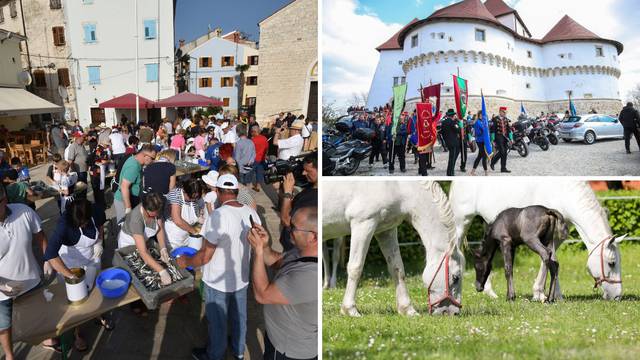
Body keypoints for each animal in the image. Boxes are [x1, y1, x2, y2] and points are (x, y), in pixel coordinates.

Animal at [322, 180, 462, 316]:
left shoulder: (386, 230)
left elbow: (397, 268)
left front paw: (407, 309)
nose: (455, 313)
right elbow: (355, 268)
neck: (397, 186)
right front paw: (350, 309)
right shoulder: (363, 223)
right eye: (456, 278)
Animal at [450, 179, 624, 300]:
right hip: (461, 221)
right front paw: (541, 294)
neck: (563, 192)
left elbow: (549, 261)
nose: (617, 296)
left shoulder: (551, 238)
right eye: (612, 263)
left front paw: (549, 295)